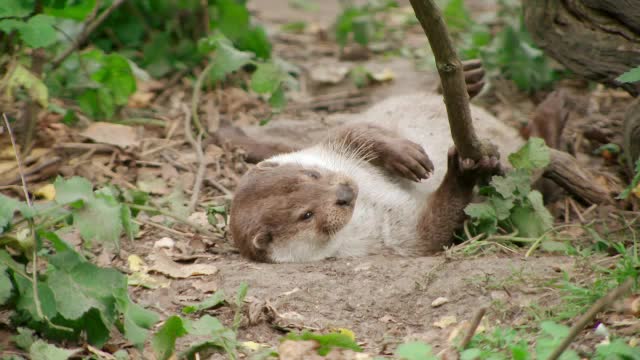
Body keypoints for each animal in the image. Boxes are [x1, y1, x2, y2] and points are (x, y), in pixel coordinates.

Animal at [228, 62, 528, 262]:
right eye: (306, 215)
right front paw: (462, 170)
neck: (371, 199)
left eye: (311, 174)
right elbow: (434, 230)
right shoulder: (397, 238)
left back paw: (464, 80)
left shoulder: (333, 141)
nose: (345, 193)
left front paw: (404, 156)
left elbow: (361, 131)